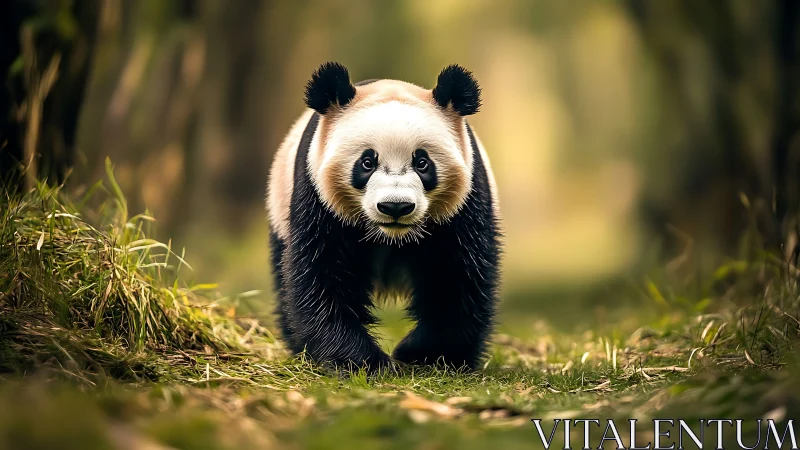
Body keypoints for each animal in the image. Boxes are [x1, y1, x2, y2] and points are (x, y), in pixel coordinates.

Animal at [267, 62, 501, 372]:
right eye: (367, 162)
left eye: (422, 162)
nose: (395, 207)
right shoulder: (317, 195)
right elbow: (321, 273)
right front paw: (359, 360)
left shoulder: (466, 200)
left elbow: (457, 274)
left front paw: (429, 355)